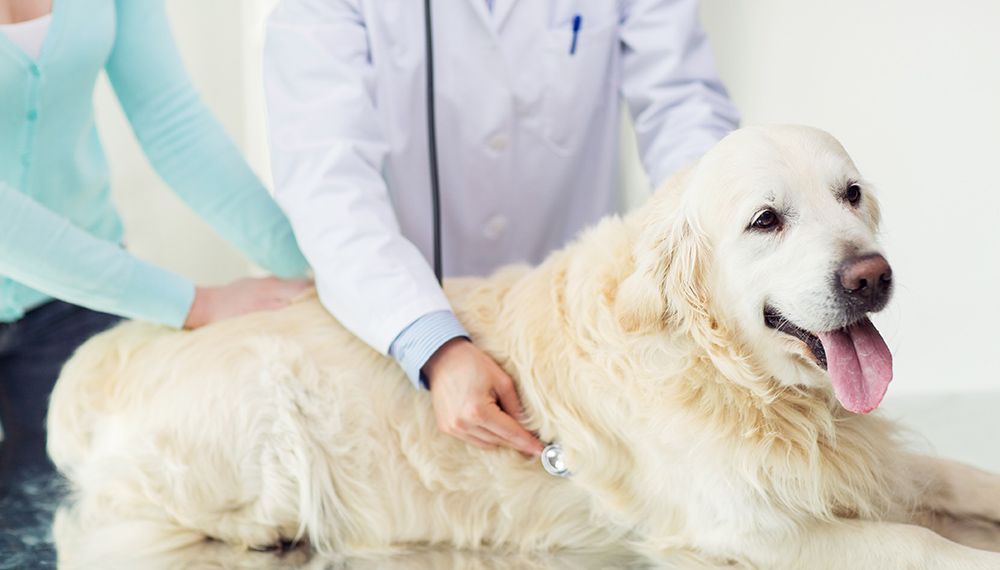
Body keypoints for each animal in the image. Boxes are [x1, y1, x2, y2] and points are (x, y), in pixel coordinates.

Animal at [48, 125, 1000, 568]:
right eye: (766, 219)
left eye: (852, 195)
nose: (871, 276)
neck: (721, 371)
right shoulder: (750, 528)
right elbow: (920, 544)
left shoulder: (868, 456)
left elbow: (963, 478)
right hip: (263, 421)